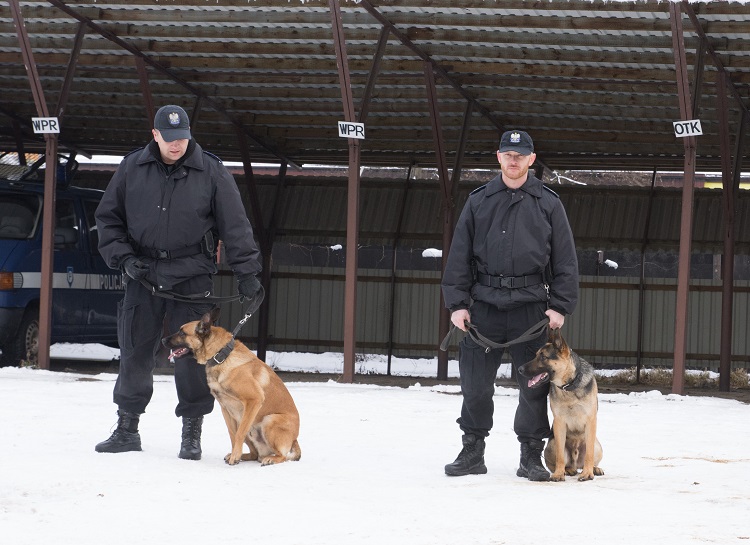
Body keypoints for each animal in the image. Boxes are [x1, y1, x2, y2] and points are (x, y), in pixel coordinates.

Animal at [163, 308, 302, 466]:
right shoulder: (226, 409)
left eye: (182, 333)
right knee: (255, 454)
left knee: (282, 456)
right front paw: (235, 454)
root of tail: (294, 440)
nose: (162, 340)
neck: (221, 356)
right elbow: (233, 434)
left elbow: (239, 433)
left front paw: (235, 456)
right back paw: (244, 455)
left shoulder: (254, 400)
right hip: (244, 420)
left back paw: (270, 459)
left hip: (269, 420)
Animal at [516, 328, 604, 480]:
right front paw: (558, 473)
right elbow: (560, 457)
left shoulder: (591, 420)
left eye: (543, 357)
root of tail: (576, 463)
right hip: (551, 444)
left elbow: (589, 454)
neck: (569, 386)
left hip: (597, 445)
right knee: (563, 461)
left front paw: (588, 474)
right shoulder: (559, 423)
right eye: (536, 355)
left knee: (589, 455)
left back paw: (593, 468)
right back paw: (567, 470)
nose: (520, 369)